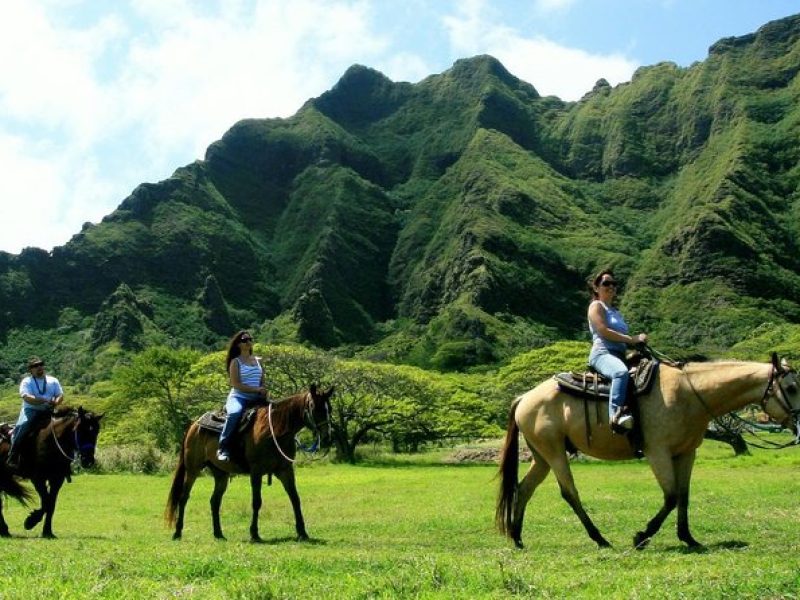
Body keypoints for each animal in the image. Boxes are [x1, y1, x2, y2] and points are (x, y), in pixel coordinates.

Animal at [0, 408, 103, 540]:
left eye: (96, 431)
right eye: (80, 430)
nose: (88, 460)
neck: (51, 441)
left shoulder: (57, 479)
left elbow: (51, 504)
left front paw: (47, 531)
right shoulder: (38, 479)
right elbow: (46, 503)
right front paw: (30, 521)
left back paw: (4, 530)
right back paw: (4, 530)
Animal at [166, 384, 334, 544]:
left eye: (329, 409)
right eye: (315, 407)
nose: (327, 438)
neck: (276, 430)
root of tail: (194, 425)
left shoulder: (285, 470)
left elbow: (295, 499)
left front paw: (302, 532)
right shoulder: (256, 471)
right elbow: (256, 502)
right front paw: (254, 534)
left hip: (221, 474)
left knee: (215, 501)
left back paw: (219, 534)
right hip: (192, 470)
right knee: (183, 497)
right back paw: (177, 533)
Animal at [496, 354, 796, 552]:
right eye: (792, 387)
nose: (798, 420)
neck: (689, 393)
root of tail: (524, 397)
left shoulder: (686, 453)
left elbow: (684, 496)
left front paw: (688, 538)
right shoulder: (658, 452)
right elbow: (671, 496)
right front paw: (642, 536)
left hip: (542, 457)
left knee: (524, 489)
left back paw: (518, 538)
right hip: (555, 453)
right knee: (569, 493)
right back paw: (600, 539)